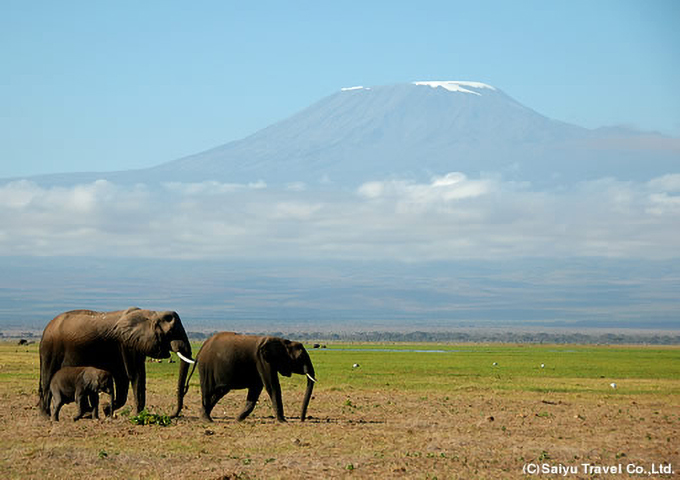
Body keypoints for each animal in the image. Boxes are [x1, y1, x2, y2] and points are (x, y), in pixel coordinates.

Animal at [39, 310, 194, 418]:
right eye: (171, 332)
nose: (172, 415)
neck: (152, 314)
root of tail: (47, 327)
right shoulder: (127, 344)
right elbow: (135, 375)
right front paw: (135, 415)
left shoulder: (135, 345)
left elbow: (126, 378)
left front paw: (107, 410)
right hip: (50, 349)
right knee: (47, 379)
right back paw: (45, 416)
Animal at [183, 332, 316, 422]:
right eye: (300, 358)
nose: (302, 419)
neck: (282, 342)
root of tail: (201, 349)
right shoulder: (263, 361)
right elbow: (272, 386)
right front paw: (283, 421)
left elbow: (256, 389)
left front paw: (238, 419)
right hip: (207, 367)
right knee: (208, 390)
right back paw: (207, 419)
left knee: (220, 392)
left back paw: (204, 415)